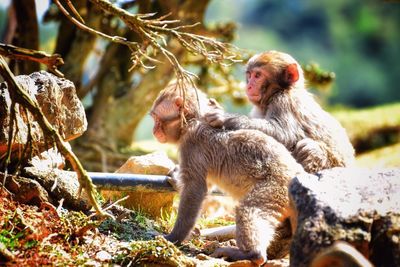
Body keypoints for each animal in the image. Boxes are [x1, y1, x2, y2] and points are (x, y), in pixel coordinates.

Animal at [149, 84, 304, 266]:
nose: (153, 130)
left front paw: (174, 238)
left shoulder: (192, 144)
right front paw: (175, 180)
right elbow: (205, 185)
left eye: (156, 119)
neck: (192, 121)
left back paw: (252, 254)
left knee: (249, 209)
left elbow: (195, 189)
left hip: (275, 188)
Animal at [205, 50, 354, 174]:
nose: (249, 86)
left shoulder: (284, 101)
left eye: (258, 75)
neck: (279, 91)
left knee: (308, 147)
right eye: (250, 75)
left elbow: (284, 134)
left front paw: (223, 117)